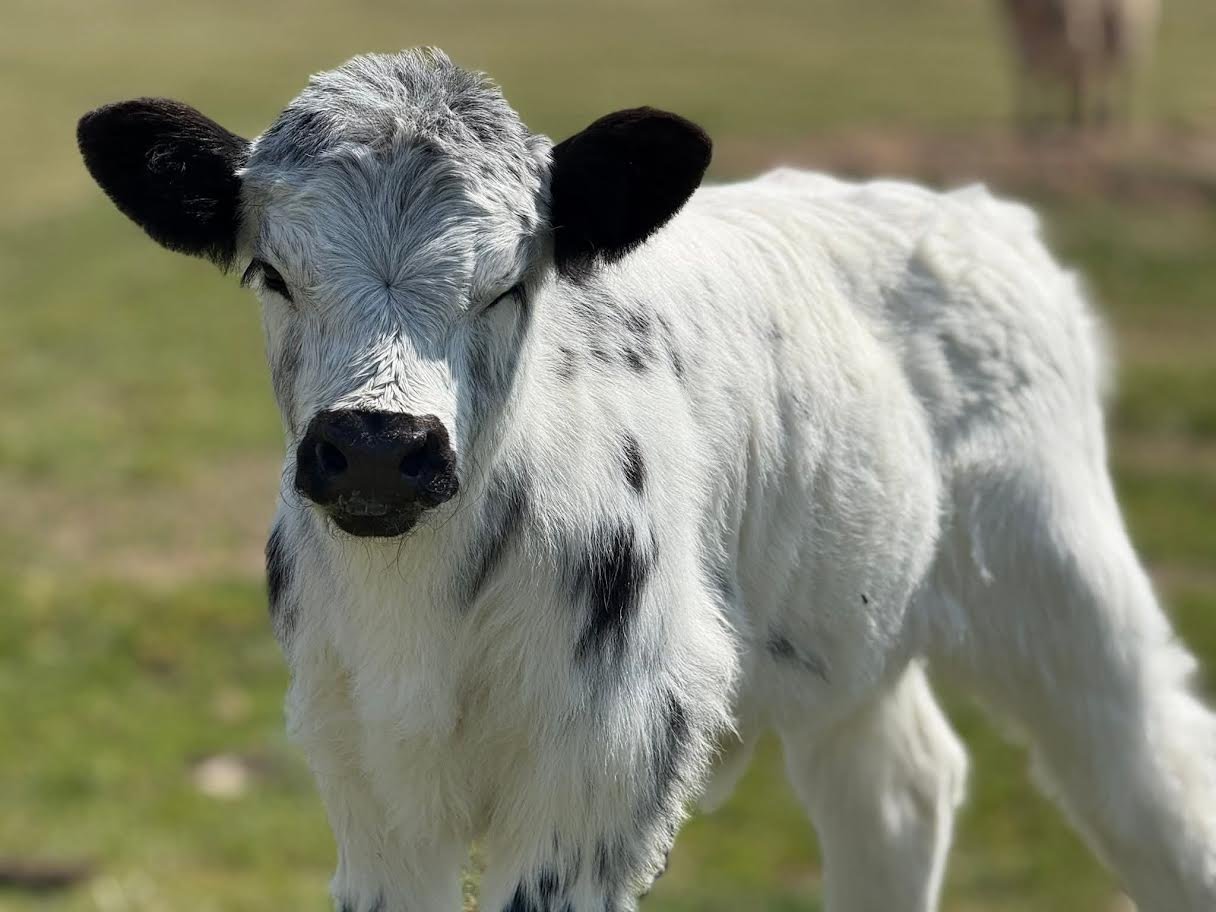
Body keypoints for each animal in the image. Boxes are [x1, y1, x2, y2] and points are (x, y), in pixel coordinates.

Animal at [76, 48, 1216, 911]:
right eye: (272, 274)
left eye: (509, 284)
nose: (374, 447)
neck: (426, 603)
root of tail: (982, 216)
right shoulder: (364, 764)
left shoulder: (608, 759)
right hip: (852, 627)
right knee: (898, 789)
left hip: (1064, 584)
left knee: (1155, 779)